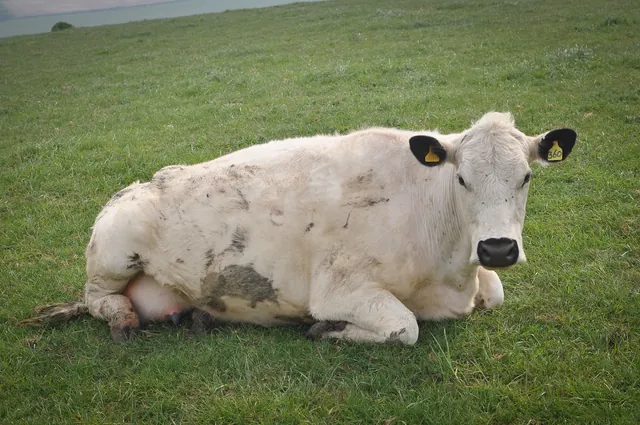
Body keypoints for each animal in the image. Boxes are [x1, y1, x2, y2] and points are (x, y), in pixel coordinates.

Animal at [20, 112, 576, 345]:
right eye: (461, 179)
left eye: (527, 177)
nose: (499, 248)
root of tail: (134, 186)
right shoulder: (341, 288)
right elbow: (405, 327)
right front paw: (327, 330)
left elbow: (496, 293)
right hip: (114, 249)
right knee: (96, 297)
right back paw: (123, 318)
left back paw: (195, 318)